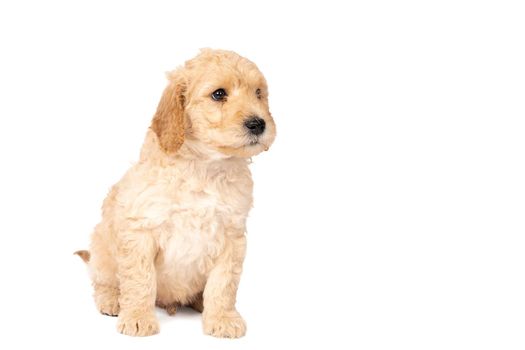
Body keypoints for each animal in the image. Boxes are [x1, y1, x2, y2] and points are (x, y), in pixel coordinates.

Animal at [77, 48, 278, 336]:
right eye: (219, 94)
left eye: (259, 93)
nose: (258, 124)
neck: (204, 167)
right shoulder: (141, 231)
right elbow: (140, 279)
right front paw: (138, 317)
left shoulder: (231, 236)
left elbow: (224, 284)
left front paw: (222, 317)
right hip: (102, 248)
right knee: (103, 280)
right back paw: (113, 300)